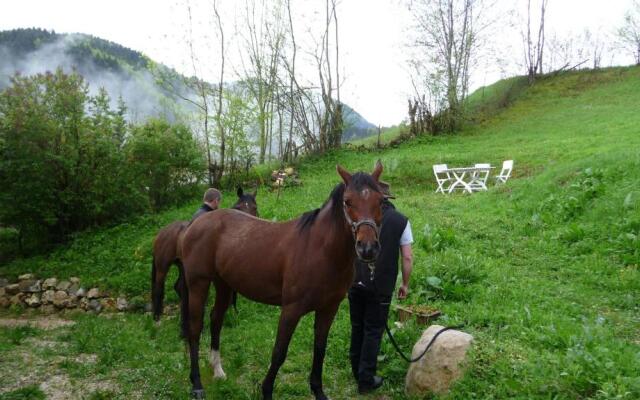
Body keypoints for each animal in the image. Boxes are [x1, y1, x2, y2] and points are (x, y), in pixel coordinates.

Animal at [150, 188, 258, 322]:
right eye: (238, 207)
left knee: (179, 287)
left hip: (182, 267)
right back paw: (157, 316)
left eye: (254, 207)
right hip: (162, 267)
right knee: (158, 289)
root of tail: (160, 233)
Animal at [178, 162, 382, 400]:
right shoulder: (291, 309)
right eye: (348, 201)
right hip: (198, 284)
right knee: (195, 328)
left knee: (216, 319)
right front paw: (266, 390)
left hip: (224, 285)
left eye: (381, 200)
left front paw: (318, 391)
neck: (320, 250)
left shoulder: (328, 309)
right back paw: (196, 383)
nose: (367, 248)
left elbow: (320, 348)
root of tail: (195, 224)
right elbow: (279, 352)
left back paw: (218, 370)